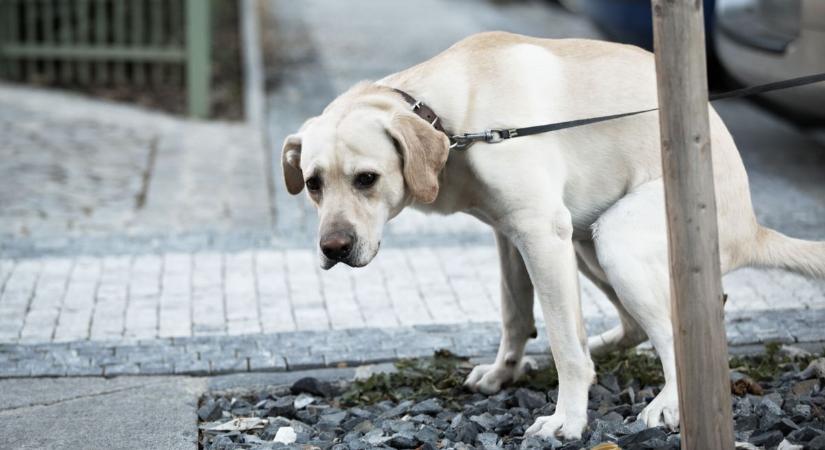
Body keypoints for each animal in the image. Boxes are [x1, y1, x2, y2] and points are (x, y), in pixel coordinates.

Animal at [278, 31, 824, 440]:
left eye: (367, 179)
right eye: (312, 184)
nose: (333, 249)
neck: (452, 121)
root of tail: (751, 227)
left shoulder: (540, 232)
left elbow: (563, 342)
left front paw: (568, 418)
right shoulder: (510, 236)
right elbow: (516, 315)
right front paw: (505, 372)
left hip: (617, 240)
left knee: (674, 333)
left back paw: (667, 403)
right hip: (585, 244)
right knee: (642, 323)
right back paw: (603, 347)